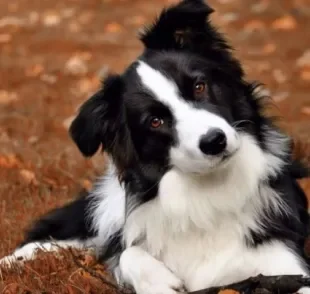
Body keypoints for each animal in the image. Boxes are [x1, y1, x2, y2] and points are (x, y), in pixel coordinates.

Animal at [1, 0, 310, 294]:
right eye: (155, 121)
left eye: (199, 86)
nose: (214, 141)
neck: (210, 191)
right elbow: (127, 252)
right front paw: (158, 282)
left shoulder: (286, 263)